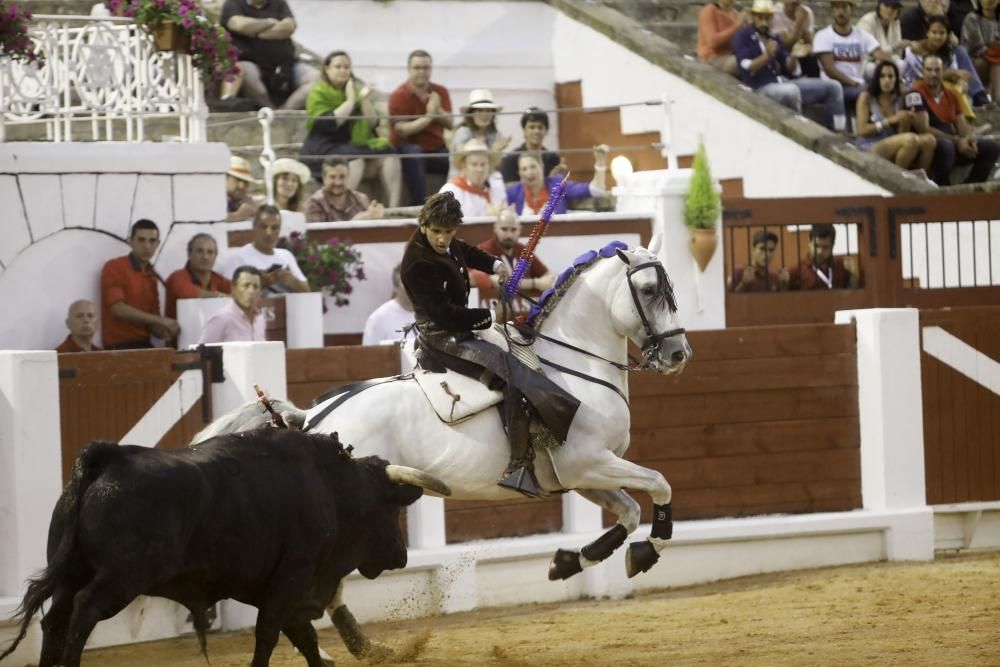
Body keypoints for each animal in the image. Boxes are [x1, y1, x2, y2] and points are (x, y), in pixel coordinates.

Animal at [0, 428, 448, 667]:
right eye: (390, 509)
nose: (401, 557)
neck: (332, 488)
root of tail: (106, 457)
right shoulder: (292, 578)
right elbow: (270, 634)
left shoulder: (283, 590)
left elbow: (303, 637)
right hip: (119, 580)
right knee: (83, 612)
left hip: (70, 571)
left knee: (54, 620)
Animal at [199, 239, 692, 656]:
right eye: (649, 290)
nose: (678, 355)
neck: (570, 368)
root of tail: (312, 420)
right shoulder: (587, 463)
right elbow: (661, 484)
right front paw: (648, 550)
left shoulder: (579, 476)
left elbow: (629, 511)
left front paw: (570, 561)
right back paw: (352, 648)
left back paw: (363, 647)